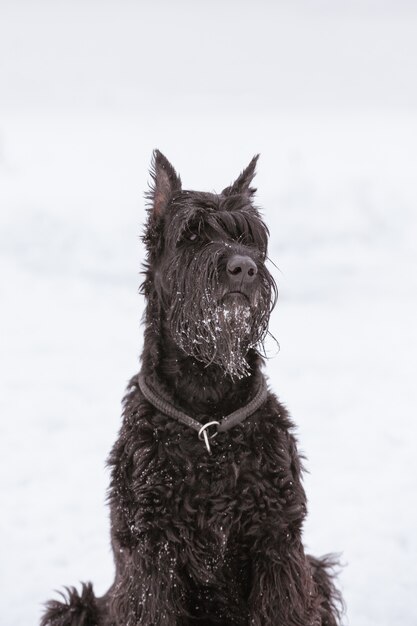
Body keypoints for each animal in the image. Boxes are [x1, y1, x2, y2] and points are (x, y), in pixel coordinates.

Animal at [41, 152, 342, 624]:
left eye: (249, 237)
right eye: (193, 234)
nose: (243, 267)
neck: (207, 405)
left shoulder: (277, 545)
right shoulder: (152, 558)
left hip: (316, 571)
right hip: (77, 605)